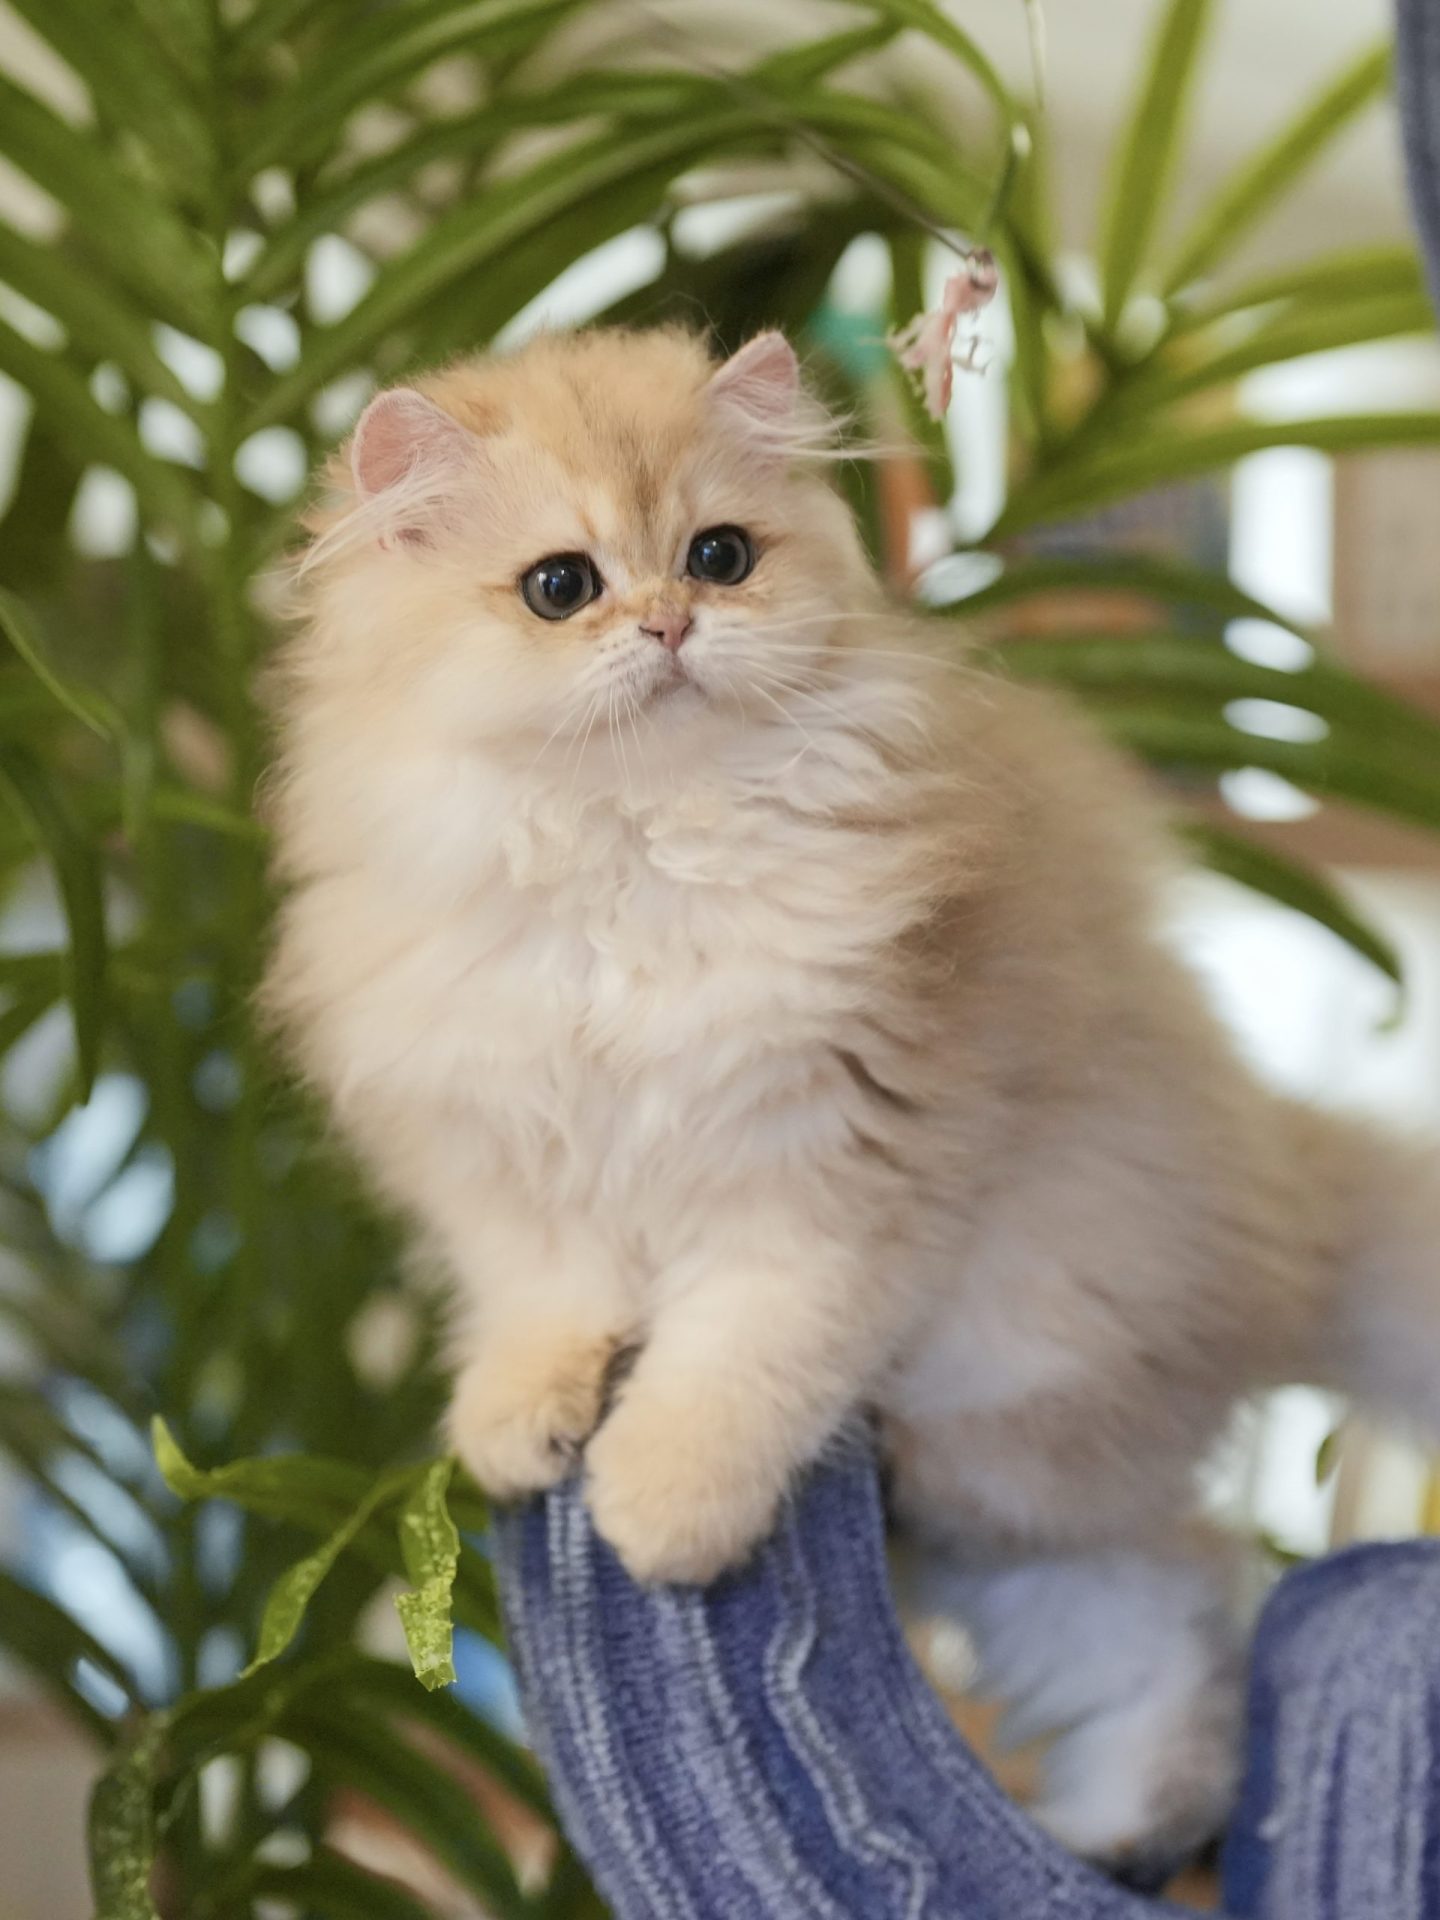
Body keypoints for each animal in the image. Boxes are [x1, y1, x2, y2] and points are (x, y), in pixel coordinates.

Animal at [264, 326, 1440, 1873]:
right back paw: (1112, 1830)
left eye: (719, 557)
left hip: (1007, 1422)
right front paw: (523, 1431)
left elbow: (730, 1368)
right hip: (1020, 1529)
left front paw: (657, 1510)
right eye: (561, 586)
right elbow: (546, 1304)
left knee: (1190, 1566)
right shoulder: (510, 1164)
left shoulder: (829, 1174)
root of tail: (1294, 1193)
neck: (630, 850)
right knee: (1171, 1605)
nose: (668, 626)